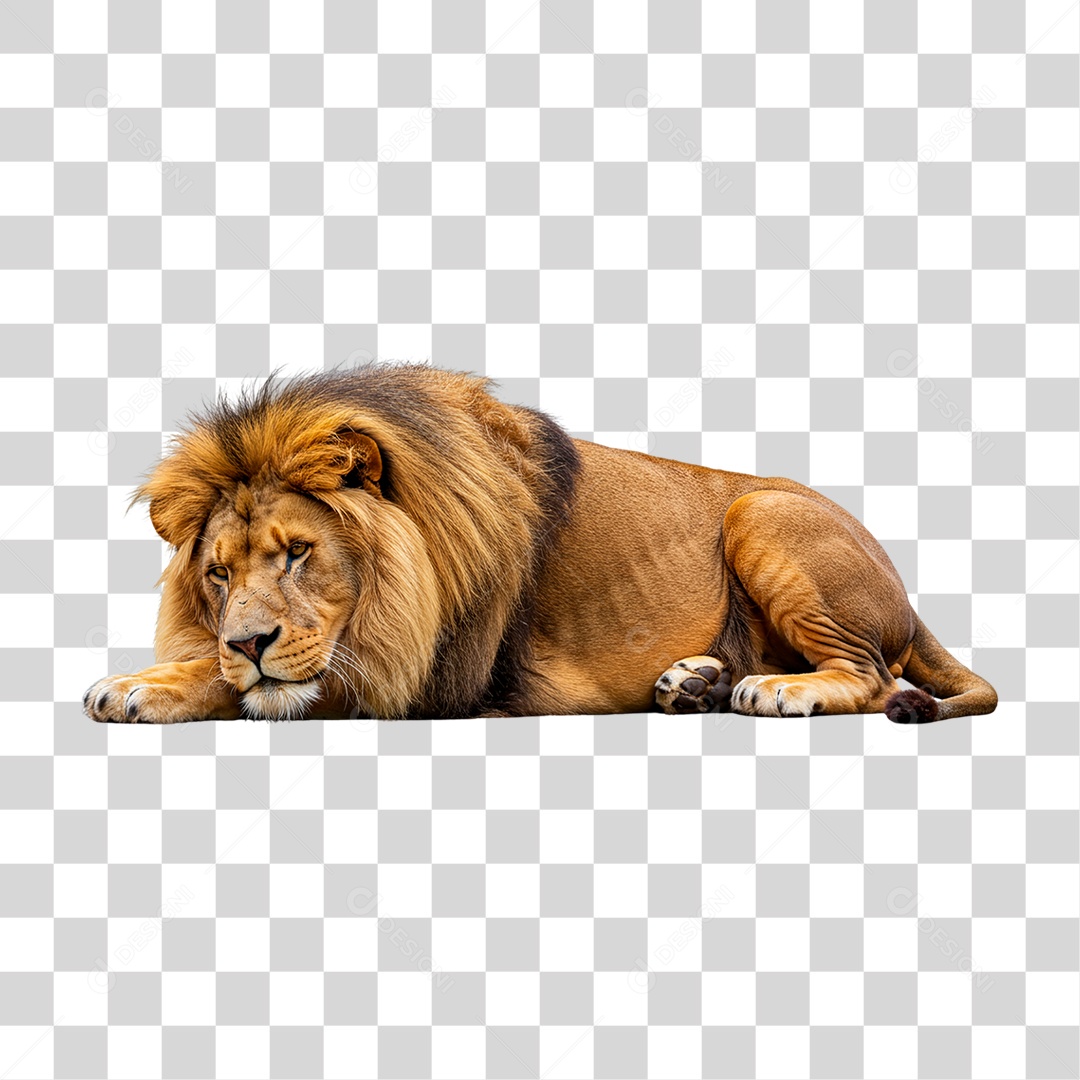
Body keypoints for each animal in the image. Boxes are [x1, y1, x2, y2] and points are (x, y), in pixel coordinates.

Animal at [83, 364, 997, 725]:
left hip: (761, 514)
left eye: (299, 552)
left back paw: (779, 689)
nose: (249, 639)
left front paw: (140, 684)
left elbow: (262, 681)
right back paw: (693, 683)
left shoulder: (426, 675)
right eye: (217, 573)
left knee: (873, 675)